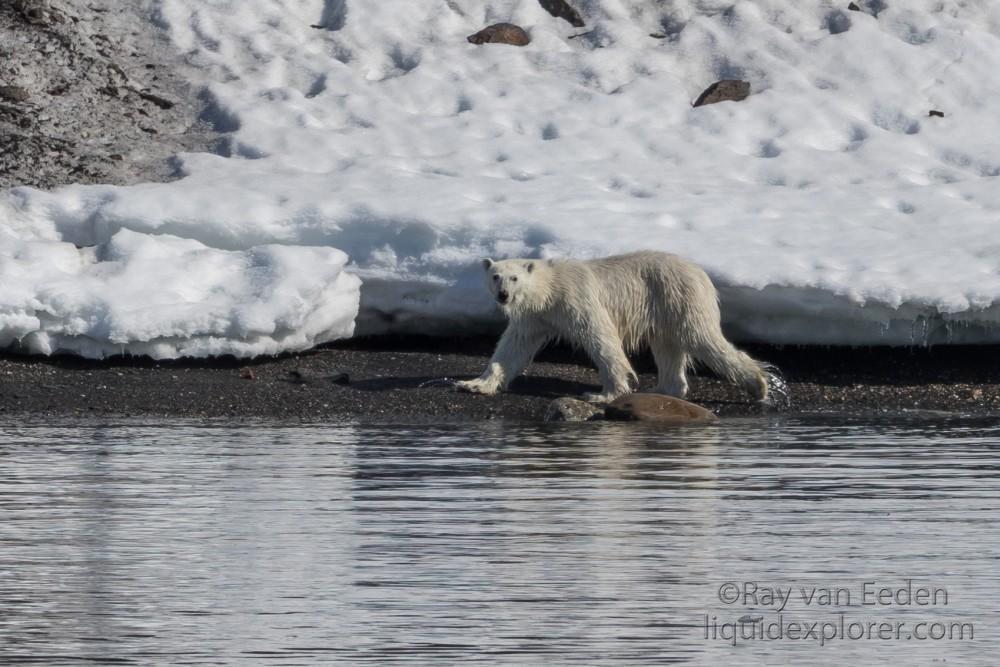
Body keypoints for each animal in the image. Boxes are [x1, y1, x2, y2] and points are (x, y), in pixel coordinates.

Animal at [458, 250, 768, 404]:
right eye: (495, 276)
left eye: (514, 278)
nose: (503, 295)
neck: (550, 289)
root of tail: (702, 273)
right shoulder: (536, 316)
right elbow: (512, 347)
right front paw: (474, 384)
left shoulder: (575, 299)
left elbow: (600, 337)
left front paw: (604, 394)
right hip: (666, 308)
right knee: (668, 347)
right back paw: (664, 388)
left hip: (678, 296)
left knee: (702, 338)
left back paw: (759, 385)